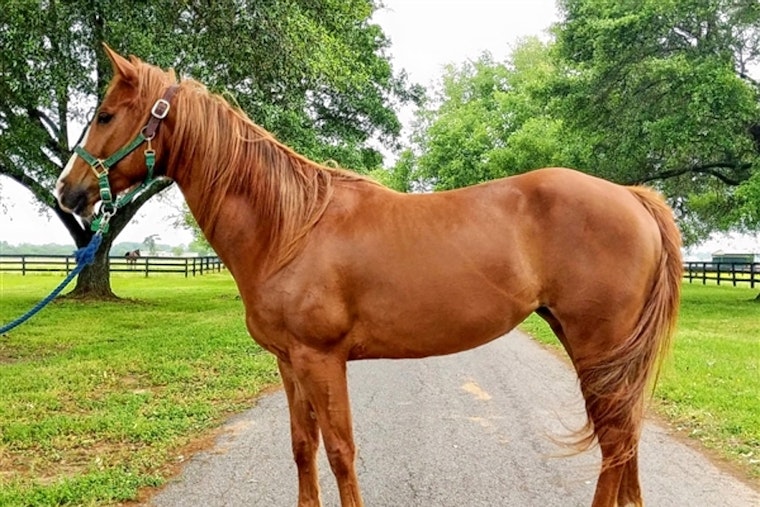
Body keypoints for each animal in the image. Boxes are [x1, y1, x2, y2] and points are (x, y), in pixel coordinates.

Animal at [56, 46, 681, 507]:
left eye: (105, 115)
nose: (67, 192)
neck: (290, 228)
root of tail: (630, 196)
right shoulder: (289, 362)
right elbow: (302, 447)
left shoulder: (321, 359)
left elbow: (340, 452)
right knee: (622, 441)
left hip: (598, 346)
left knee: (615, 441)